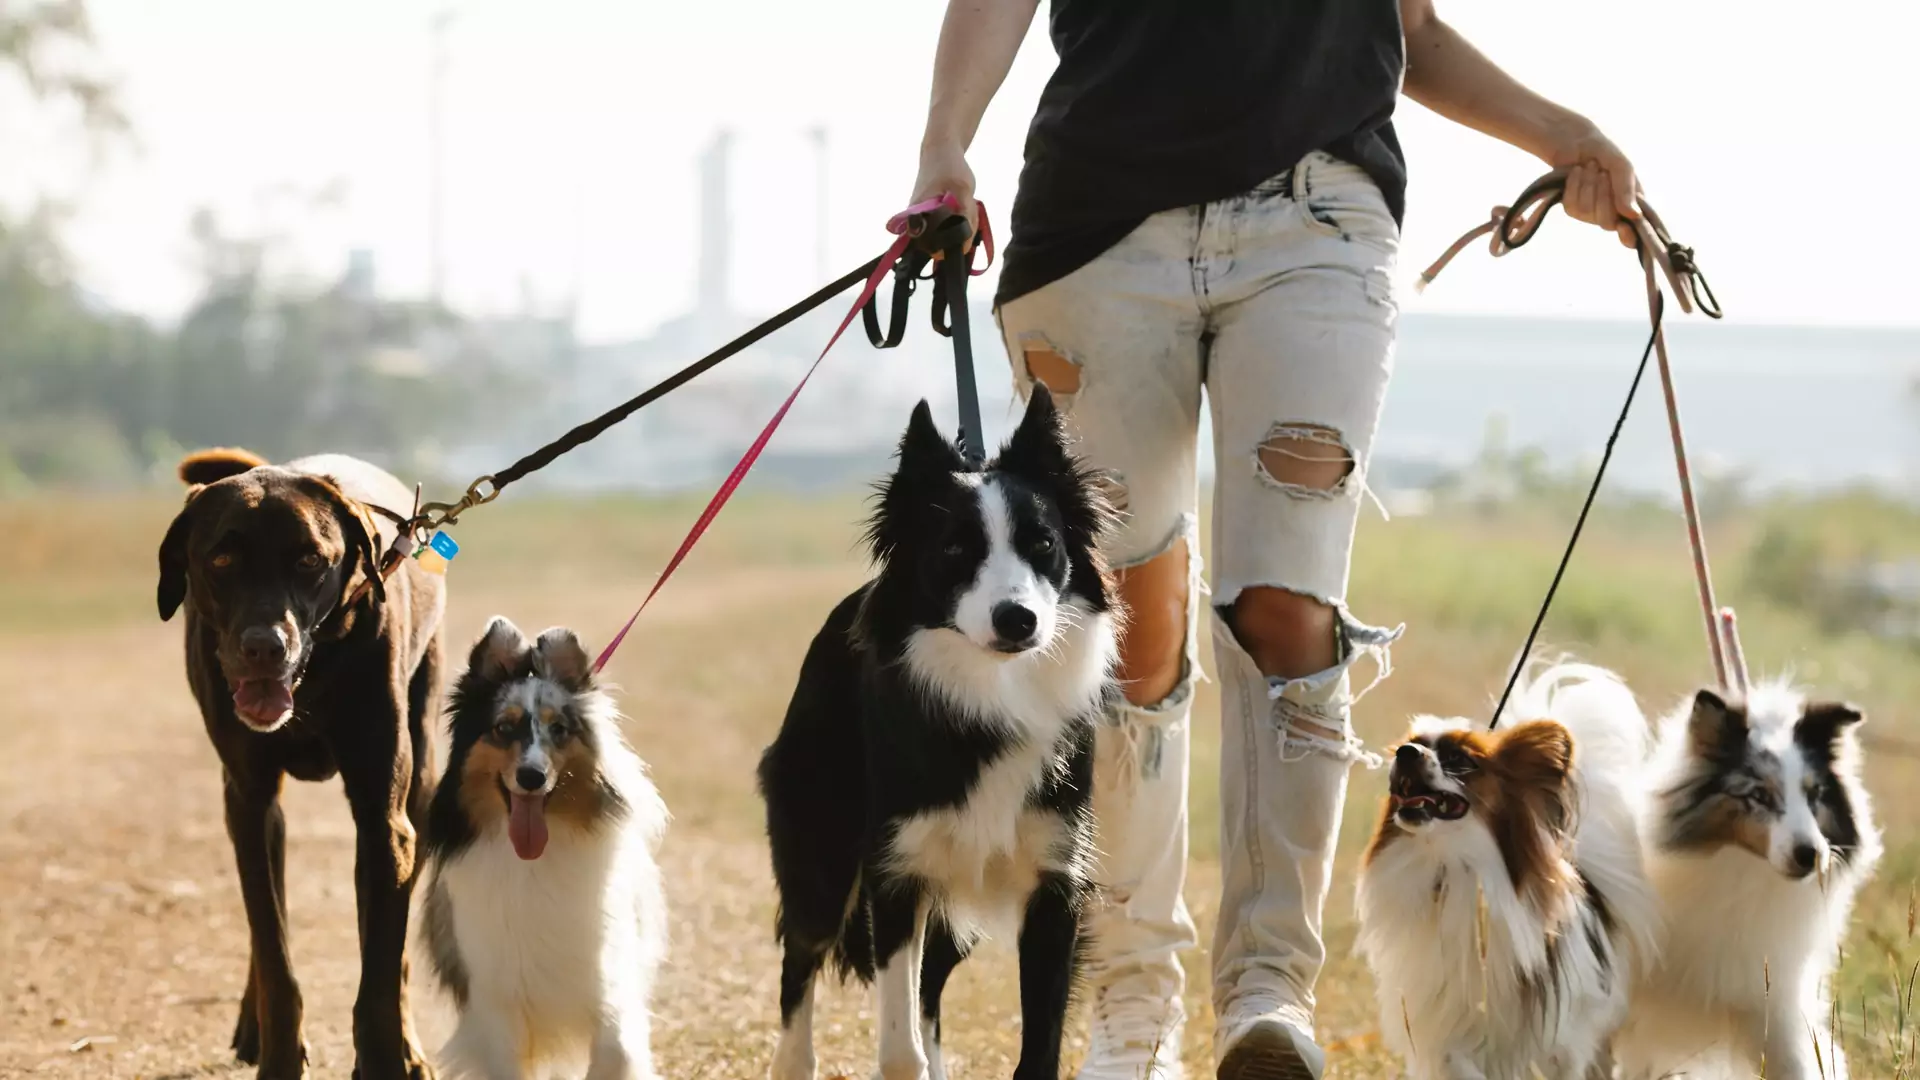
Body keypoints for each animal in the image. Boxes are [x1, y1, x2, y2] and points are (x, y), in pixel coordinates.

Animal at [158, 445, 445, 1076]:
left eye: (311, 560)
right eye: (221, 559)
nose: (265, 647)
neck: (314, 677)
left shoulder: (385, 821)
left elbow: (380, 976)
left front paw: (386, 1058)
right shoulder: (249, 800)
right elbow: (273, 954)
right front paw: (280, 1056)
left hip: (420, 780)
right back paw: (253, 1023)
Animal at [1351, 657, 1666, 1076]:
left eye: (1459, 759)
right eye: (1414, 742)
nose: (1405, 752)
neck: (1451, 866)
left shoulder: (1560, 1036)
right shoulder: (1447, 1021)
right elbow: (1458, 1061)